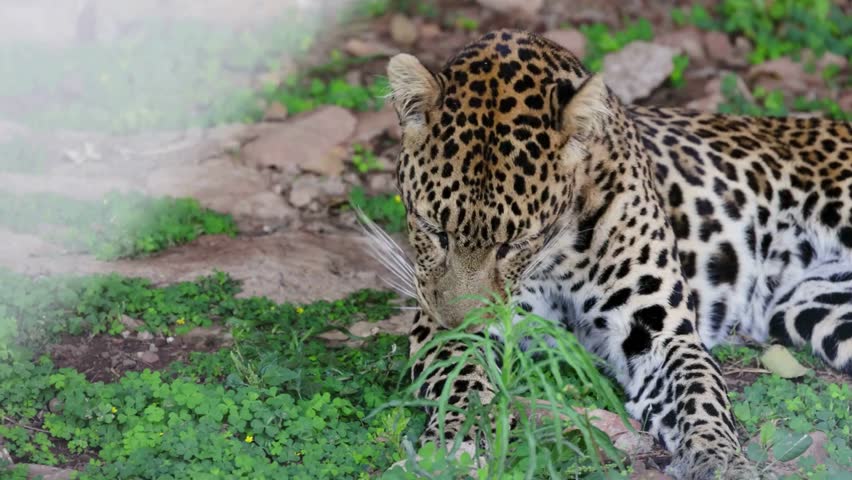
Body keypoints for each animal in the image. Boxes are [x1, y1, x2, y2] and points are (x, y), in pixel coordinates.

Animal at [365, 28, 851, 479]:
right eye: (433, 230)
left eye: (514, 243)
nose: (461, 324)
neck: (554, 254)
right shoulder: (436, 318)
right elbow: (460, 380)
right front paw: (456, 443)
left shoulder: (661, 333)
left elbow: (699, 394)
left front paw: (718, 458)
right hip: (817, 304)